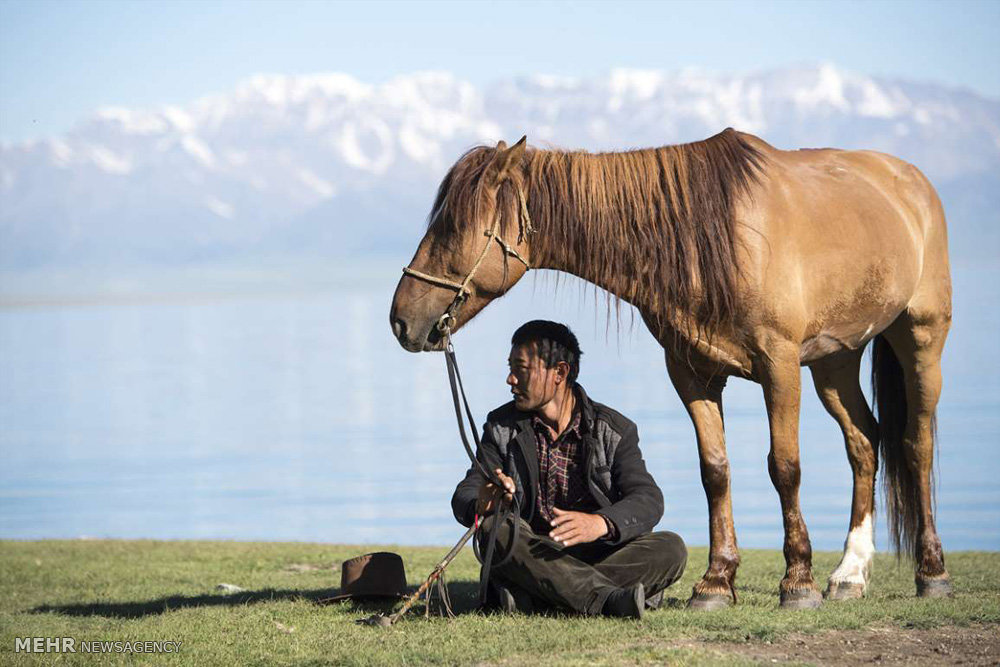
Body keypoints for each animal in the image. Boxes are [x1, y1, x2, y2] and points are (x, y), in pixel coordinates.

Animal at [384, 129, 952, 612]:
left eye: (452, 226)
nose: (400, 320)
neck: (722, 236)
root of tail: (911, 181)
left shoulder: (781, 364)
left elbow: (784, 467)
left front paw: (797, 583)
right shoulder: (692, 372)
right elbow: (715, 471)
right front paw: (717, 582)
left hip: (920, 338)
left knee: (915, 443)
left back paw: (930, 572)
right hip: (836, 360)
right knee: (864, 442)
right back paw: (850, 573)